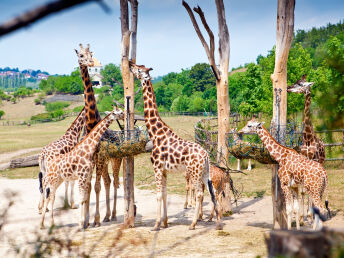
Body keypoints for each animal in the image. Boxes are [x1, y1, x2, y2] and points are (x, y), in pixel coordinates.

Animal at [74, 43, 123, 226]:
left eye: (90, 54)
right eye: (80, 55)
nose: (89, 62)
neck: (91, 124)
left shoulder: (99, 158)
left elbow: (95, 187)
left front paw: (94, 219)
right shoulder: (90, 162)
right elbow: (88, 187)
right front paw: (87, 220)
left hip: (116, 160)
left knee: (114, 182)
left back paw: (113, 214)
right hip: (105, 162)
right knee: (107, 181)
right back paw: (107, 215)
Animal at [129, 62, 220, 230]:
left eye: (139, 69)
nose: (130, 64)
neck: (155, 133)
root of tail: (205, 155)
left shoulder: (157, 168)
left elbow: (158, 195)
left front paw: (156, 224)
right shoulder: (164, 171)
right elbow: (165, 194)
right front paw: (165, 222)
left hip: (195, 173)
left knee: (199, 193)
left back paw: (193, 223)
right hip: (204, 173)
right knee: (211, 192)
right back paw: (216, 221)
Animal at [286, 75, 326, 221]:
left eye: (300, 84)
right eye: (297, 81)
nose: (288, 88)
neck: (308, 138)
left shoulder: (313, 161)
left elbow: (308, 189)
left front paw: (309, 214)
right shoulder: (303, 160)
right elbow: (303, 190)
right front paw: (303, 216)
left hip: (321, 162)